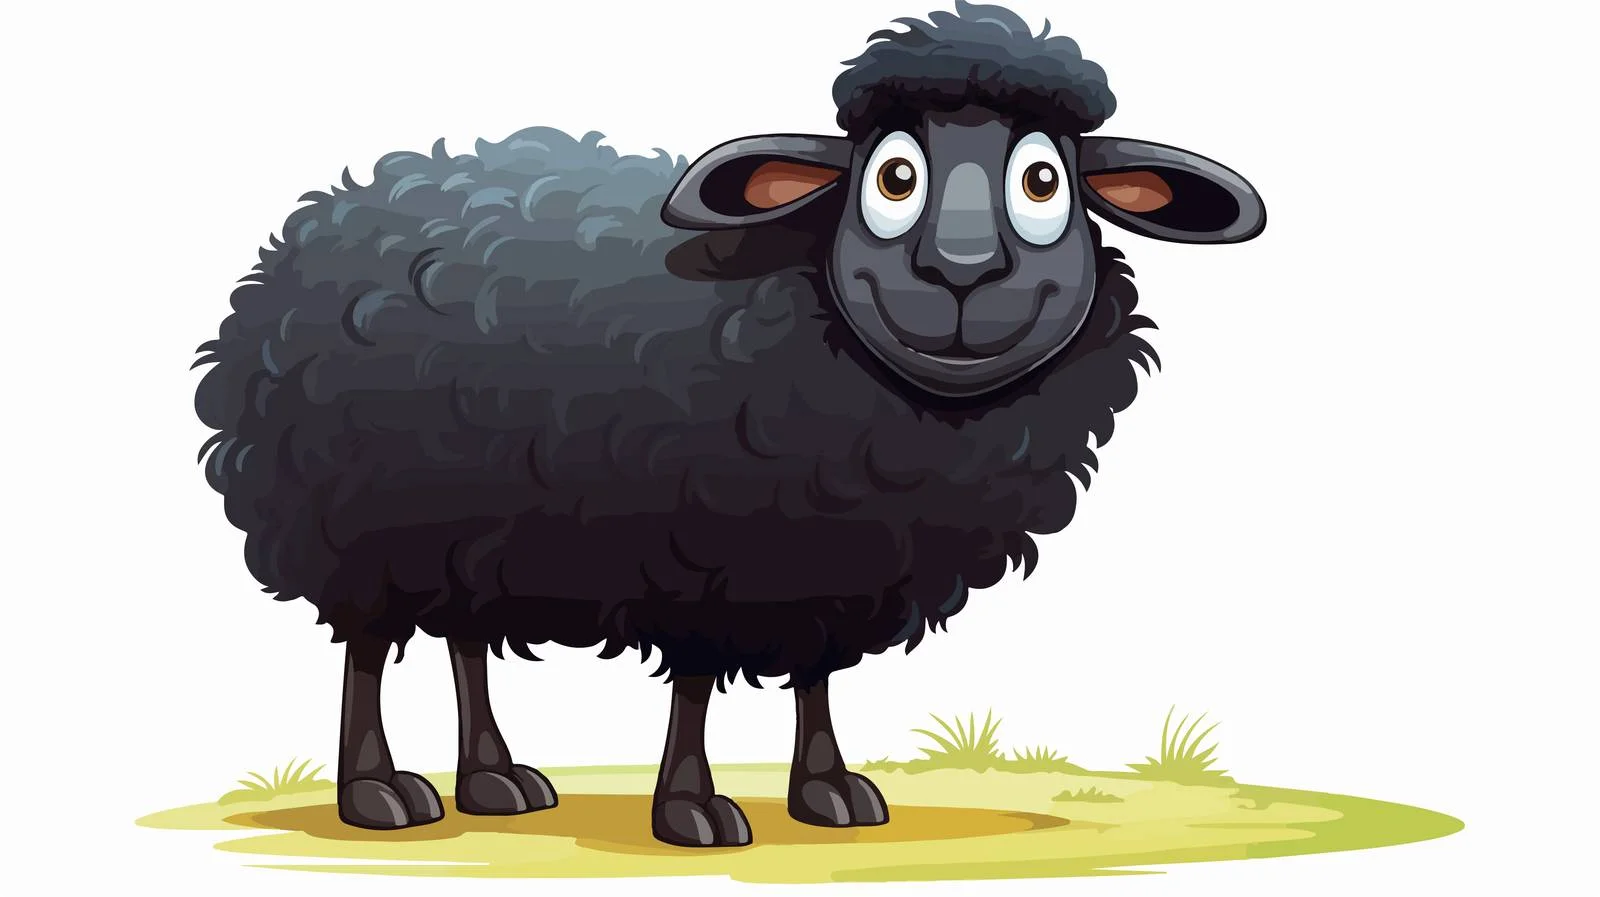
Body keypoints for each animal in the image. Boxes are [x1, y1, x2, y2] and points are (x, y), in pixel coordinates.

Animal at [192, 1, 1265, 848]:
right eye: (895, 177)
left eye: (1044, 182)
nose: (961, 270)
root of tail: (325, 208)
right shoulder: (703, 547)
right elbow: (699, 683)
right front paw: (692, 809)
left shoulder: (831, 559)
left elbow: (818, 677)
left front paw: (827, 789)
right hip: (354, 521)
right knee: (368, 651)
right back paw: (378, 791)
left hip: (472, 528)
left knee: (463, 640)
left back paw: (496, 779)